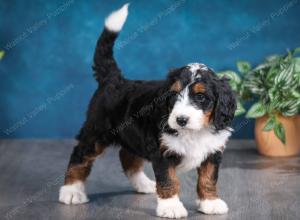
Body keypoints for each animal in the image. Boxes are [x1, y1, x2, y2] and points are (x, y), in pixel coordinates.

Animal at [59, 3, 237, 218]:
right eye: (173, 95)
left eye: (201, 97)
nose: (181, 120)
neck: (193, 132)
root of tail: (114, 79)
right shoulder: (162, 151)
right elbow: (169, 179)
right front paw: (171, 207)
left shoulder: (213, 151)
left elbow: (208, 177)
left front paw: (210, 202)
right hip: (96, 131)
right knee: (80, 156)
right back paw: (71, 191)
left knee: (127, 157)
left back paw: (143, 184)